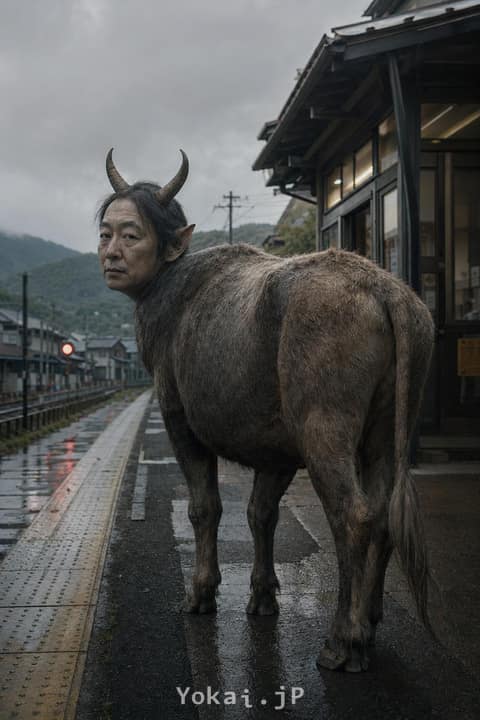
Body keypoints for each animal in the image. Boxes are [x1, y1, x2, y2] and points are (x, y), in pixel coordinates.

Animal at [97, 149, 435, 673]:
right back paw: (370, 618)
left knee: (353, 515)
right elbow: (260, 514)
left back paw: (344, 638)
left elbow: (206, 507)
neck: (168, 291)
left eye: (131, 234)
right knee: (382, 515)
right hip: (386, 426)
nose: (110, 256)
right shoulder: (274, 450)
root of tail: (385, 289)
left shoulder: (178, 418)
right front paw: (262, 595)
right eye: (106, 231)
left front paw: (201, 591)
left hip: (323, 425)